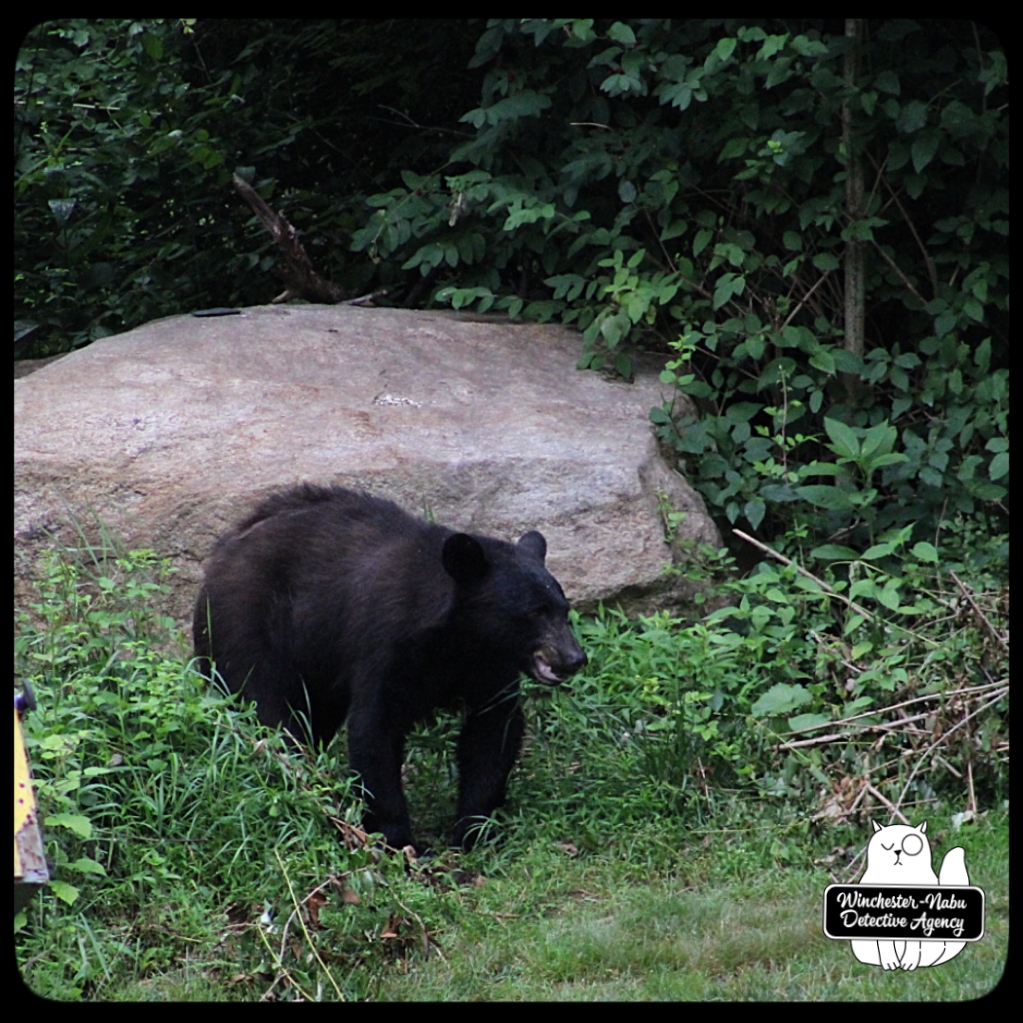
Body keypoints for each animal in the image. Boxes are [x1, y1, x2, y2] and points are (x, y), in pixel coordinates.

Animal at [193, 484, 587, 851]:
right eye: (535, 613)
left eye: (563, 609)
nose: (574, 658)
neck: (457, 640)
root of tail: (219, 556)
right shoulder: (385, 643)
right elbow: (373, 729)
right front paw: (401, 840)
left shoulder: (490, 665)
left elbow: (493, 730)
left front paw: (474, 831)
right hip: (245, 625)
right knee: (266, 709)